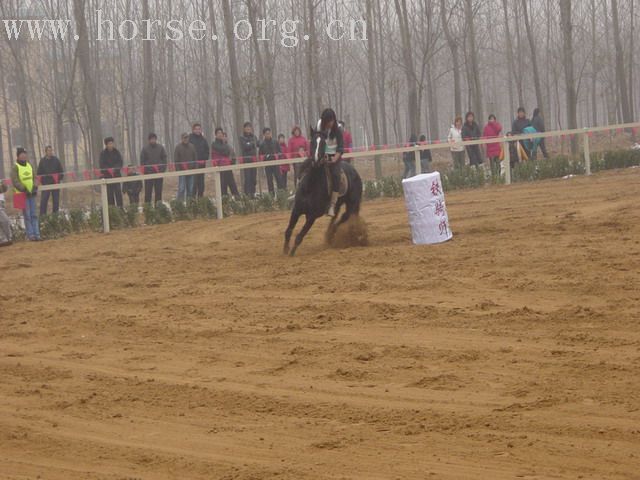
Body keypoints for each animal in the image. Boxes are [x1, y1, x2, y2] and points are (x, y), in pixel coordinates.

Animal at [284, 126, 362, 255]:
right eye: (312, 142)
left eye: (324, 143)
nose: (316, 160)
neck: (310, 186)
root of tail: (355, 172)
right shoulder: (296, 210)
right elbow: (289, 230)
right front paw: (285, 250)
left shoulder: (312, 216)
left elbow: (300, 236)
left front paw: (291, 253)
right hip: (338, 204)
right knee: (335, 216)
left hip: (352, 204)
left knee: (344, 217)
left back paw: (332, 233)